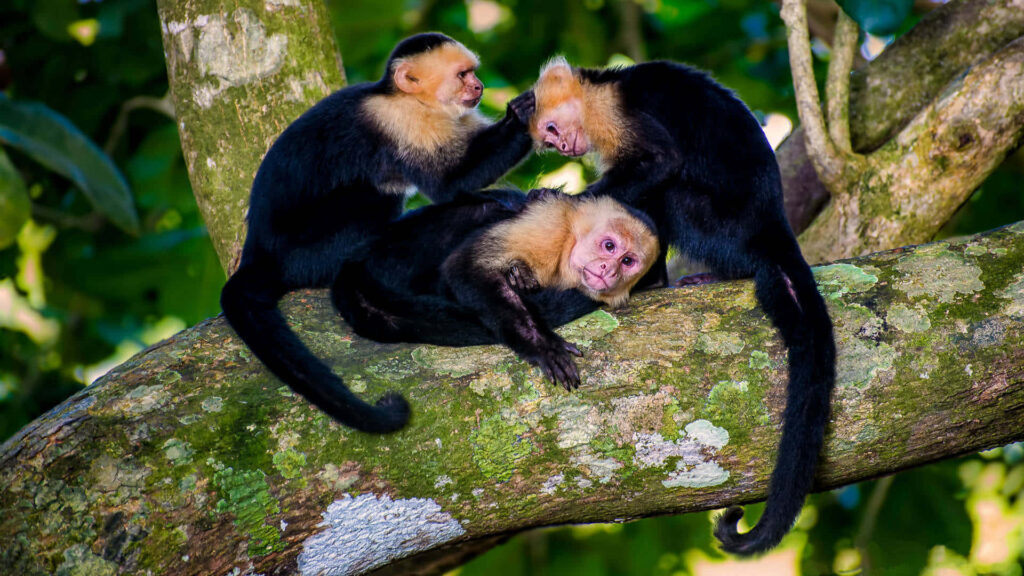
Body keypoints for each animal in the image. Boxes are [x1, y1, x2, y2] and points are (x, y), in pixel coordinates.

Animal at [219, 33, 536, 434]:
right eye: (463, 75)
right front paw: (523, 115)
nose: (479, 87)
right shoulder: (401, 122)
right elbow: (450, 182)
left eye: (473, 73)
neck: (407, 99)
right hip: (306, 252)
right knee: (372, 196)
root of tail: (256, 254)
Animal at [331, 188, 659, 389]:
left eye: (627, 261)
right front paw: (541, 344)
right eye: (609, 246)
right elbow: (465, 266)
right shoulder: (551, 224)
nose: (608, 270)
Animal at [527, 56, 836, 556]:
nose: (564, 146)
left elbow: (660, 162)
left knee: (667, 196)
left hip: (721, 226)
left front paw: (565, 198)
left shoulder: (614, 112)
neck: (598, 91)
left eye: (553, 128)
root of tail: (774, 225)